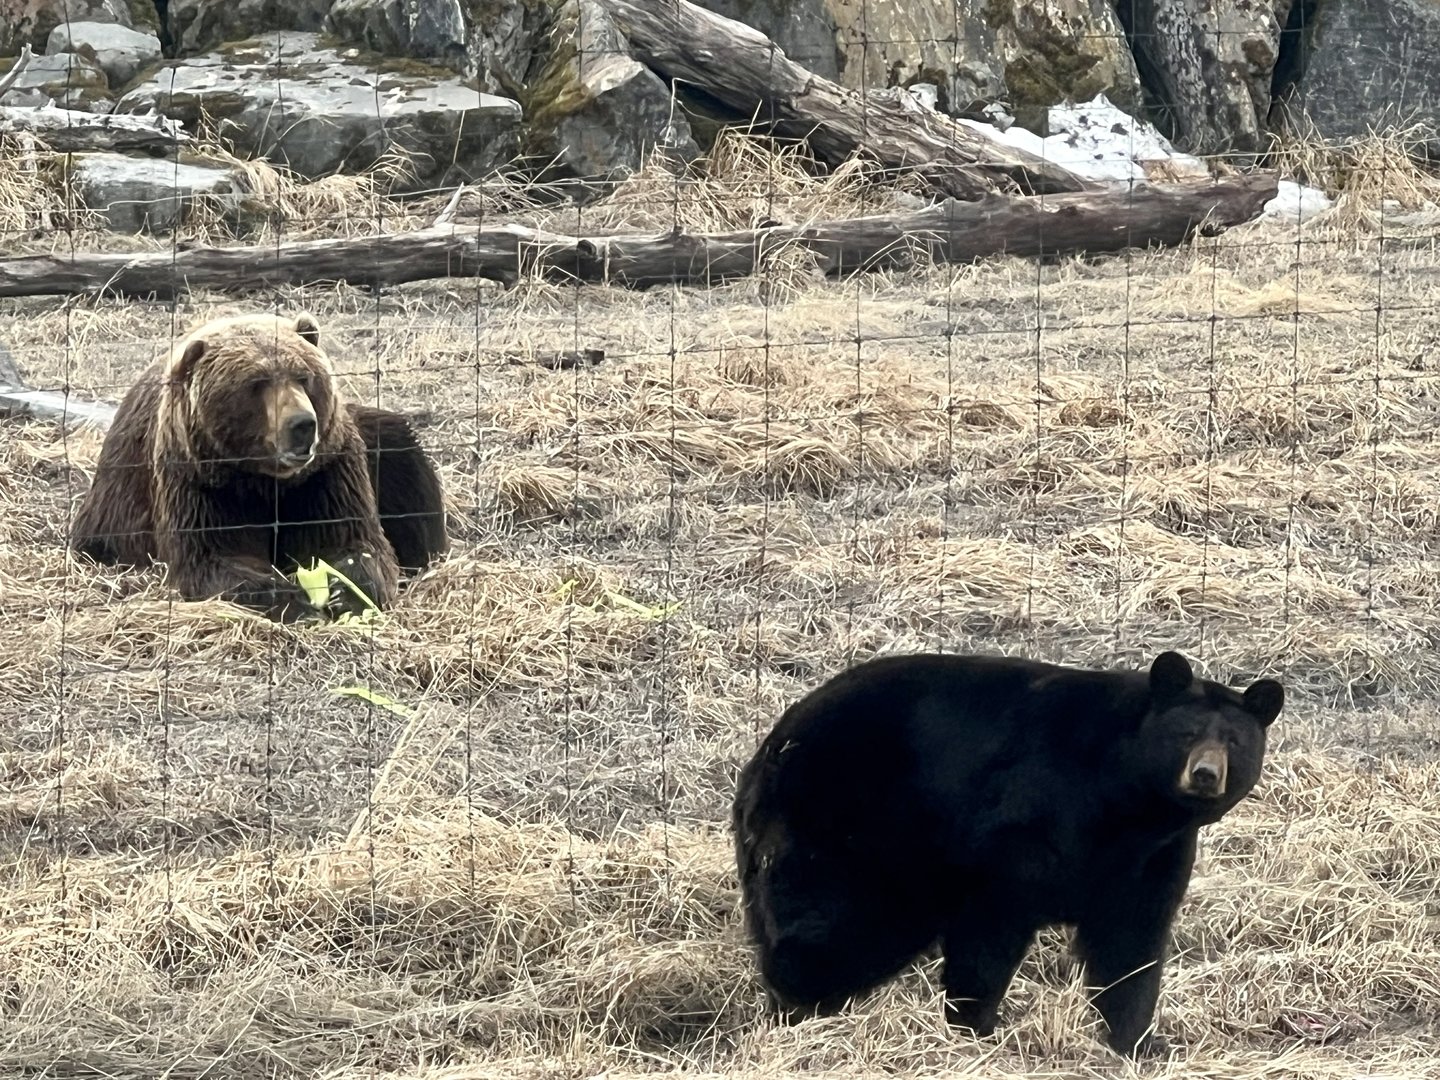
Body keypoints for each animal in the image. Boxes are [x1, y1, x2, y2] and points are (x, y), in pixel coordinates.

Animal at [69, 311, 449, 623]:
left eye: (304, 376)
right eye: (257, 383)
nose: (302, 424)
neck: (264, 480)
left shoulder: (324, 474)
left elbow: (355, 540)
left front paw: (345, 592)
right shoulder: (201, 483)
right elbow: (216, 557)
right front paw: (294, 600)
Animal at [731, 649, 1284, 1057]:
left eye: (1235, 741)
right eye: (1186, 734)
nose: (1205, 774)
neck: (1128, 802)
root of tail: (768, 748)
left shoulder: (1151, 858)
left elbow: (1130, 945)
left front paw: (1139, 1041)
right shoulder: (1025, 823)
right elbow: (991, 927)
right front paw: (977, 1029)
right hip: (850, 825)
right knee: (828, 923)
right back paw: (799, 1011)